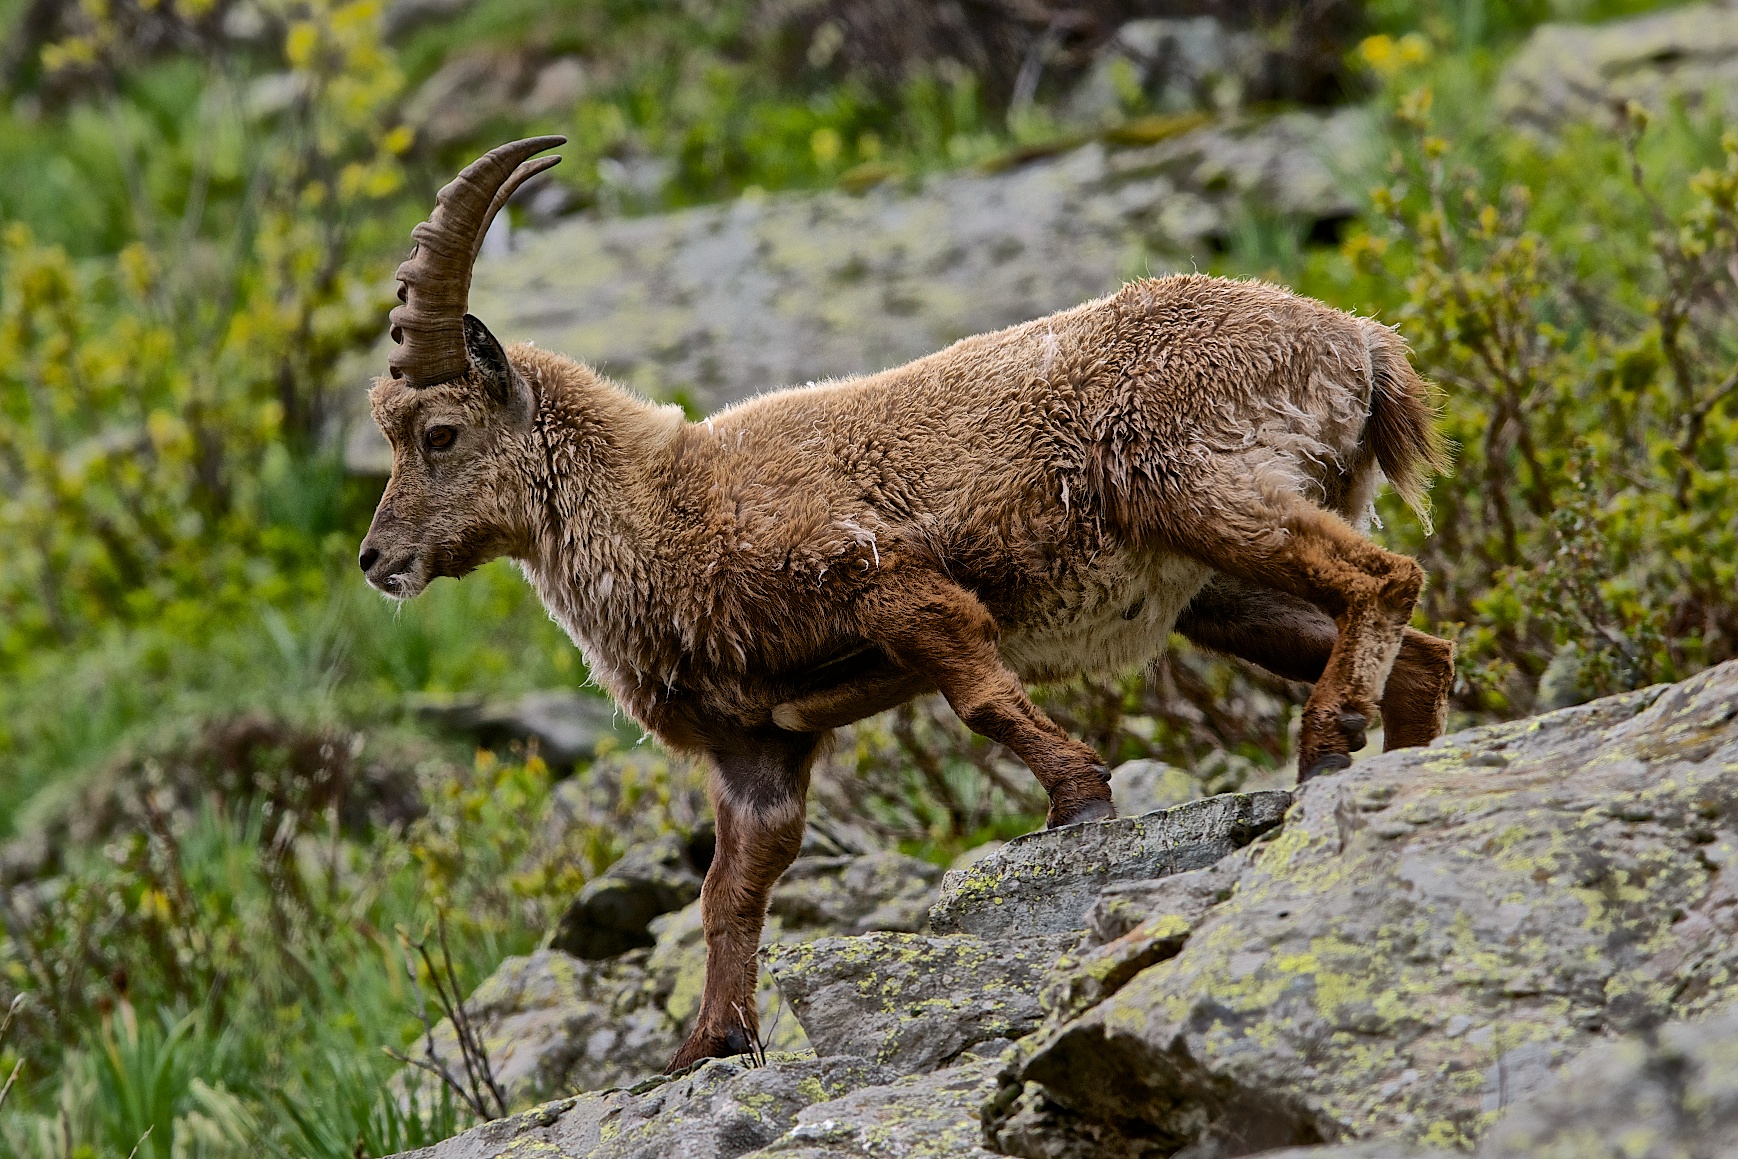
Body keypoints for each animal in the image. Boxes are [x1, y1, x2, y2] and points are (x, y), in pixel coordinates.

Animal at [359, 137, 1455, 1072]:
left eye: (440, 432)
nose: (377, 560)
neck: (666, 504)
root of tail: (1359, 342)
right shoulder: (757, 746)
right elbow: (732, 887)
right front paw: (706, 1044)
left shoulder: (895, 586)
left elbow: (979, 694)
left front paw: (1078, 798)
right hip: (1222, 587)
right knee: (1423, 646)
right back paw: (1396, 764)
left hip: (1206, 490)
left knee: (1387, 577)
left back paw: (1328, 739)